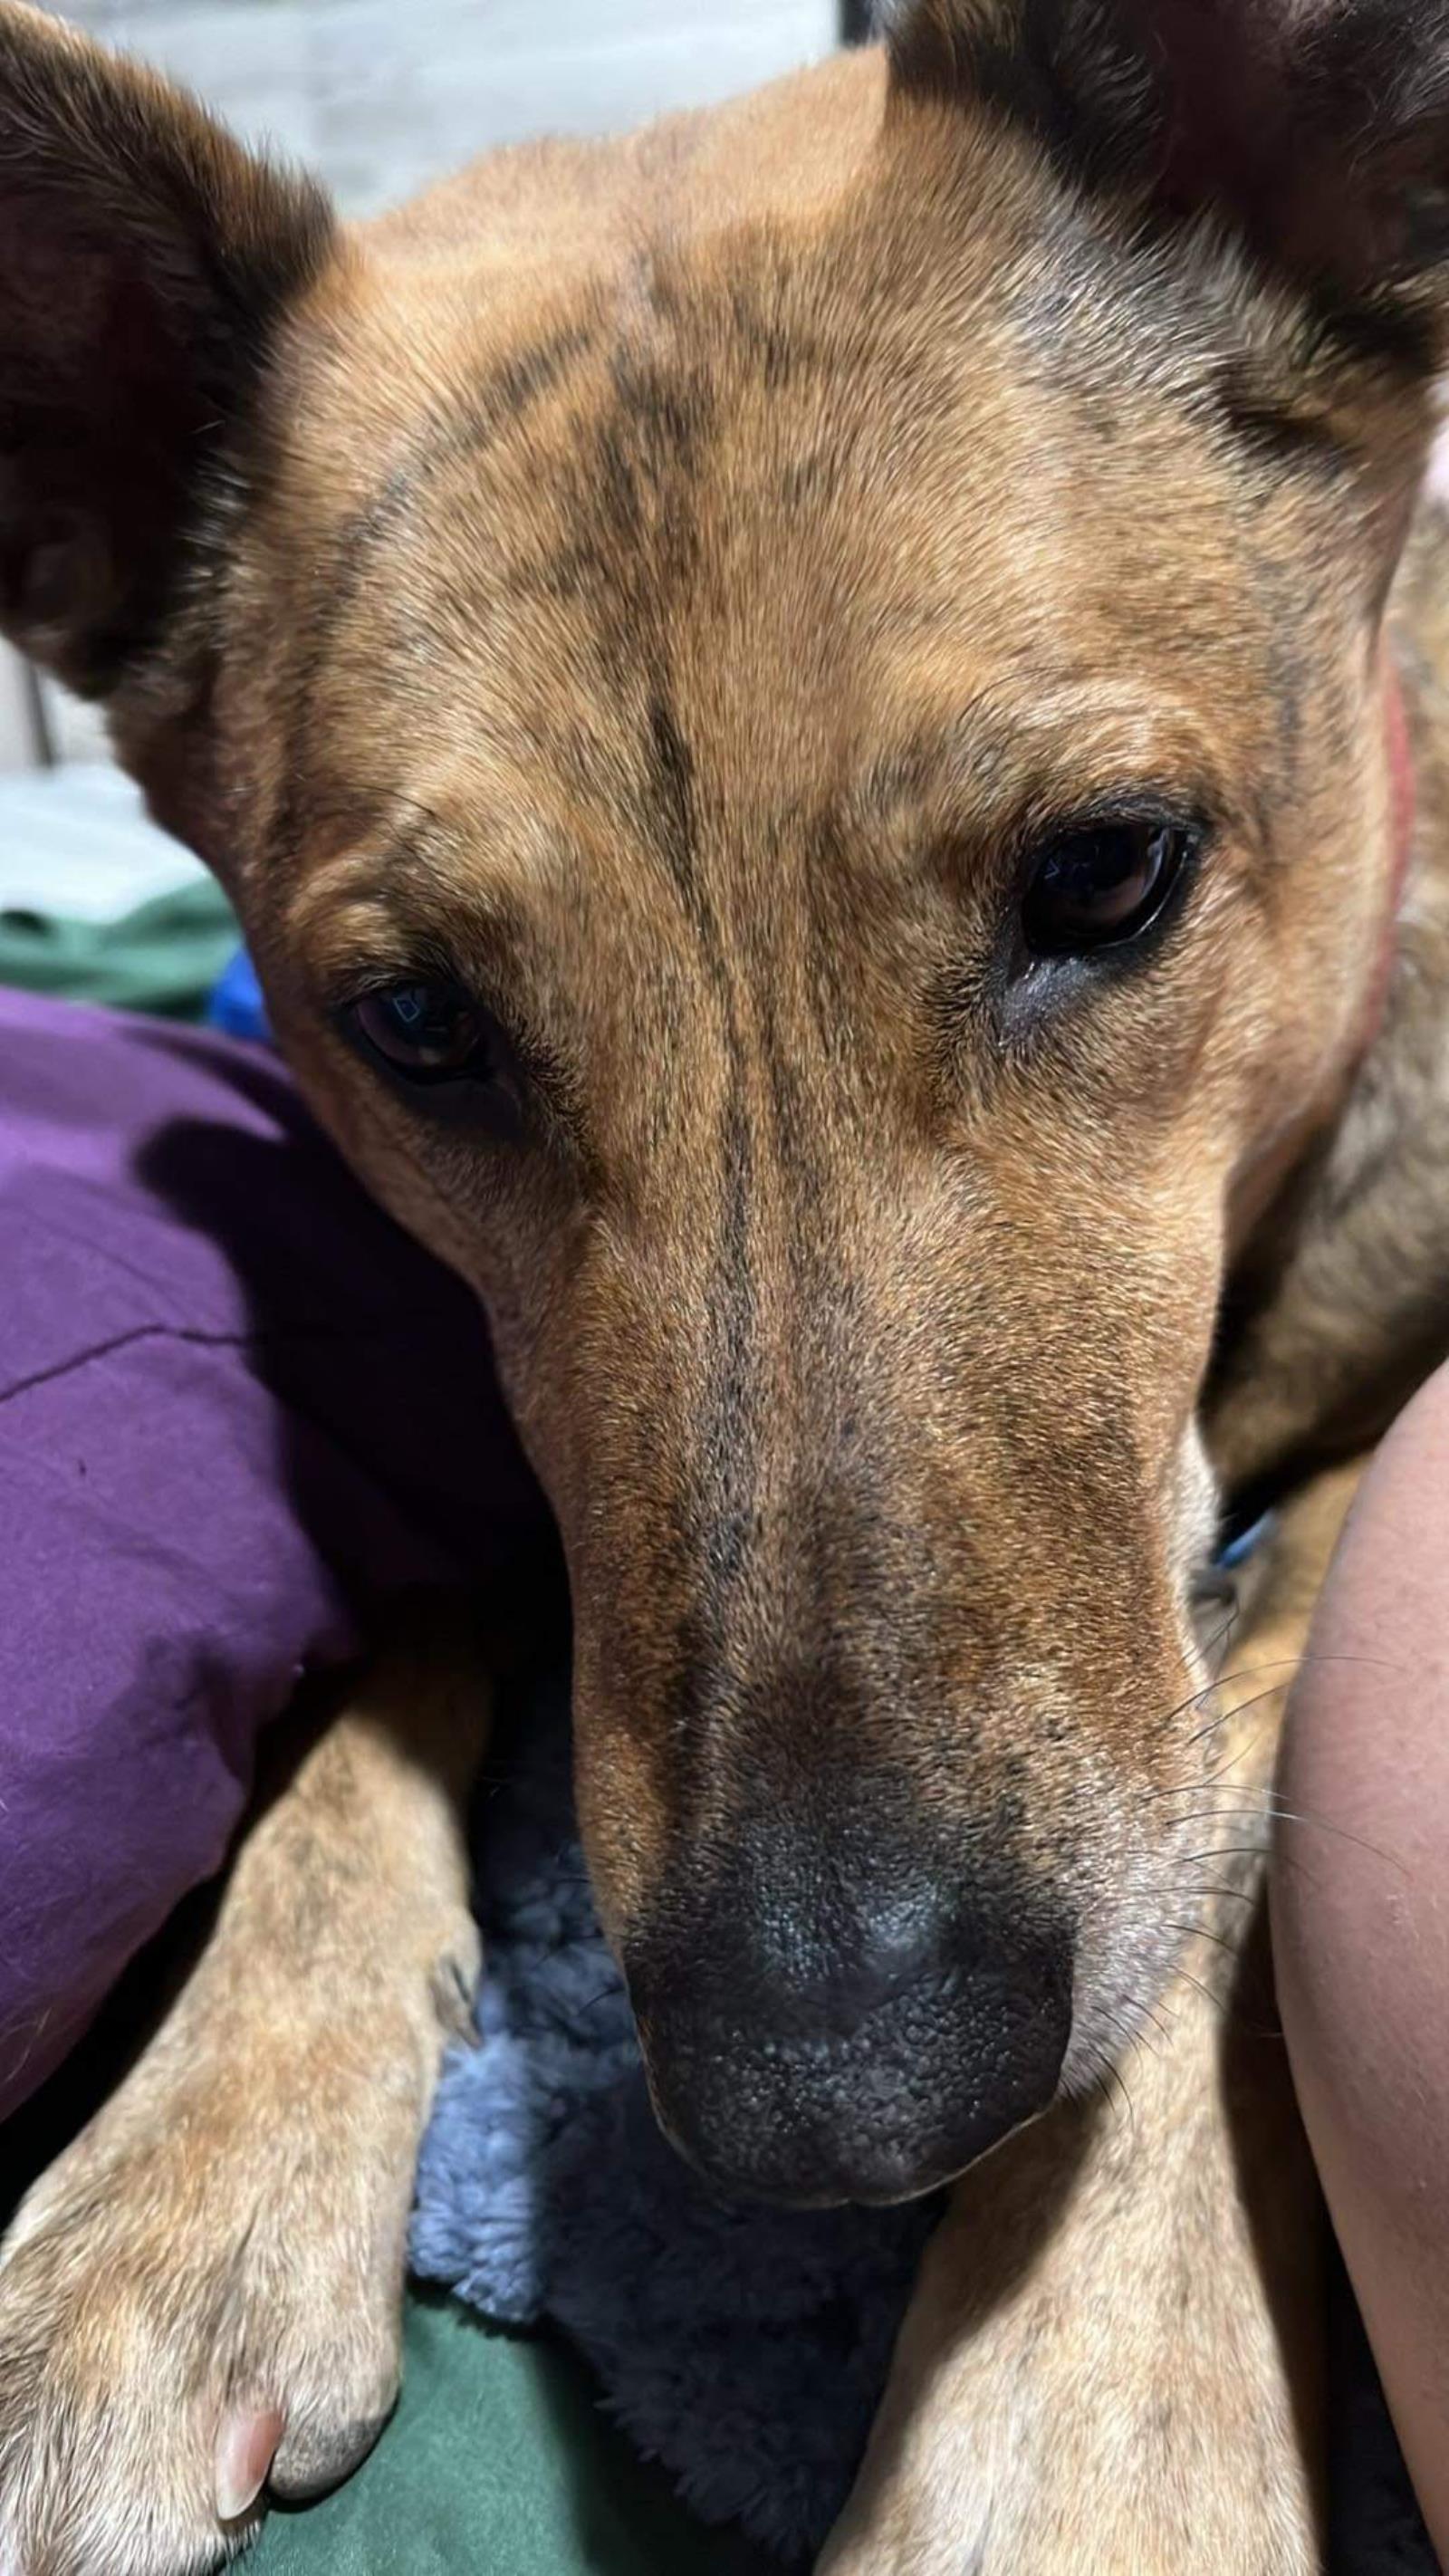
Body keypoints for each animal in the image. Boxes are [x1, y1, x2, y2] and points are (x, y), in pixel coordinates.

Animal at [3, 0, 1449, 2565]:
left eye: (1106, 873)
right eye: (416, 1026)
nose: (837, 2107)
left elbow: (1260, 1747)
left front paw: (1075, 2423)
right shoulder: (510, 1451)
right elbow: (370, 1683)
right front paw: (178, 2181)